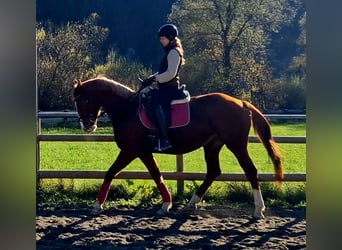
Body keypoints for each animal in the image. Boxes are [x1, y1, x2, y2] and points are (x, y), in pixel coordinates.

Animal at [73, 75, 284, 218]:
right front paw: (166, 204)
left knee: (250, 170)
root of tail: (242, 103)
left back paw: (258, 209)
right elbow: (156, 174)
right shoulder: (143, 151)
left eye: (83, 99)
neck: (128, 109)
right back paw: (192, 202)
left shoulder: (132, 150)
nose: (87, 126)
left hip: (236, 144)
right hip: (212, 145)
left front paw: (97, 205)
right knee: (213, 171)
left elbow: (111, 172)